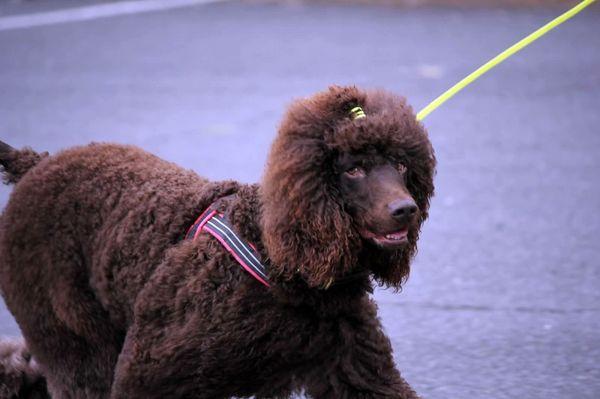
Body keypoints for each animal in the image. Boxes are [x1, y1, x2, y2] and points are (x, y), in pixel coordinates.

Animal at [0, 86, 432, 398]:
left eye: (400, 165)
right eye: (353, 170)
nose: (405, 209)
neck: (280, 261)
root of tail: (37, 163)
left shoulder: (356, 366)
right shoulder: (150, 371)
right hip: (72, 337)